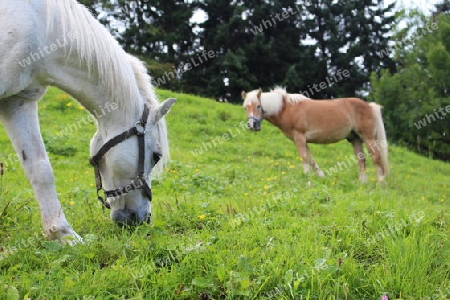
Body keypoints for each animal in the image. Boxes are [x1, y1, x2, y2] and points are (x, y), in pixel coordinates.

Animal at [0, 0, 175, 244]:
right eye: (156, 156)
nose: (142, 219)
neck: (43, 28)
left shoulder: (18, 101)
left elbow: (40, 168)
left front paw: (63, 234)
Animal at [241, 86, 388, 180]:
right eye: (245, 108)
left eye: (258, 106)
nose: (252, 125)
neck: (286, 109)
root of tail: (369, 106)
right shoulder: (302, 140)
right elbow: (310, 158)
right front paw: (321, 176)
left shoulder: (299, 137)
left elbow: (304, 157)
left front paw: (306, 177)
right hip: (355, 139)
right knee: (361, 160)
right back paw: (362, 184)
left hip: (368, 138)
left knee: (376, 157)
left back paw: (380, 183)